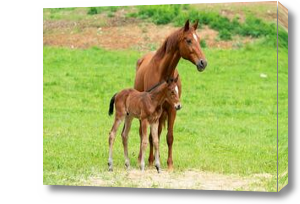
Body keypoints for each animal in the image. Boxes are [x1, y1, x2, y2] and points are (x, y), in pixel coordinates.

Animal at [134, 19, 207, 169]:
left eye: (199, 39)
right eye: (189, 40)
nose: (203, 62)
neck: (163, 73)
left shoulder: (173, 109)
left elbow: (169, 137)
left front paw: (169, 164)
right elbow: (150, 136)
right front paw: (150, 161)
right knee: (142, 133)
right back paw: (142, 159)